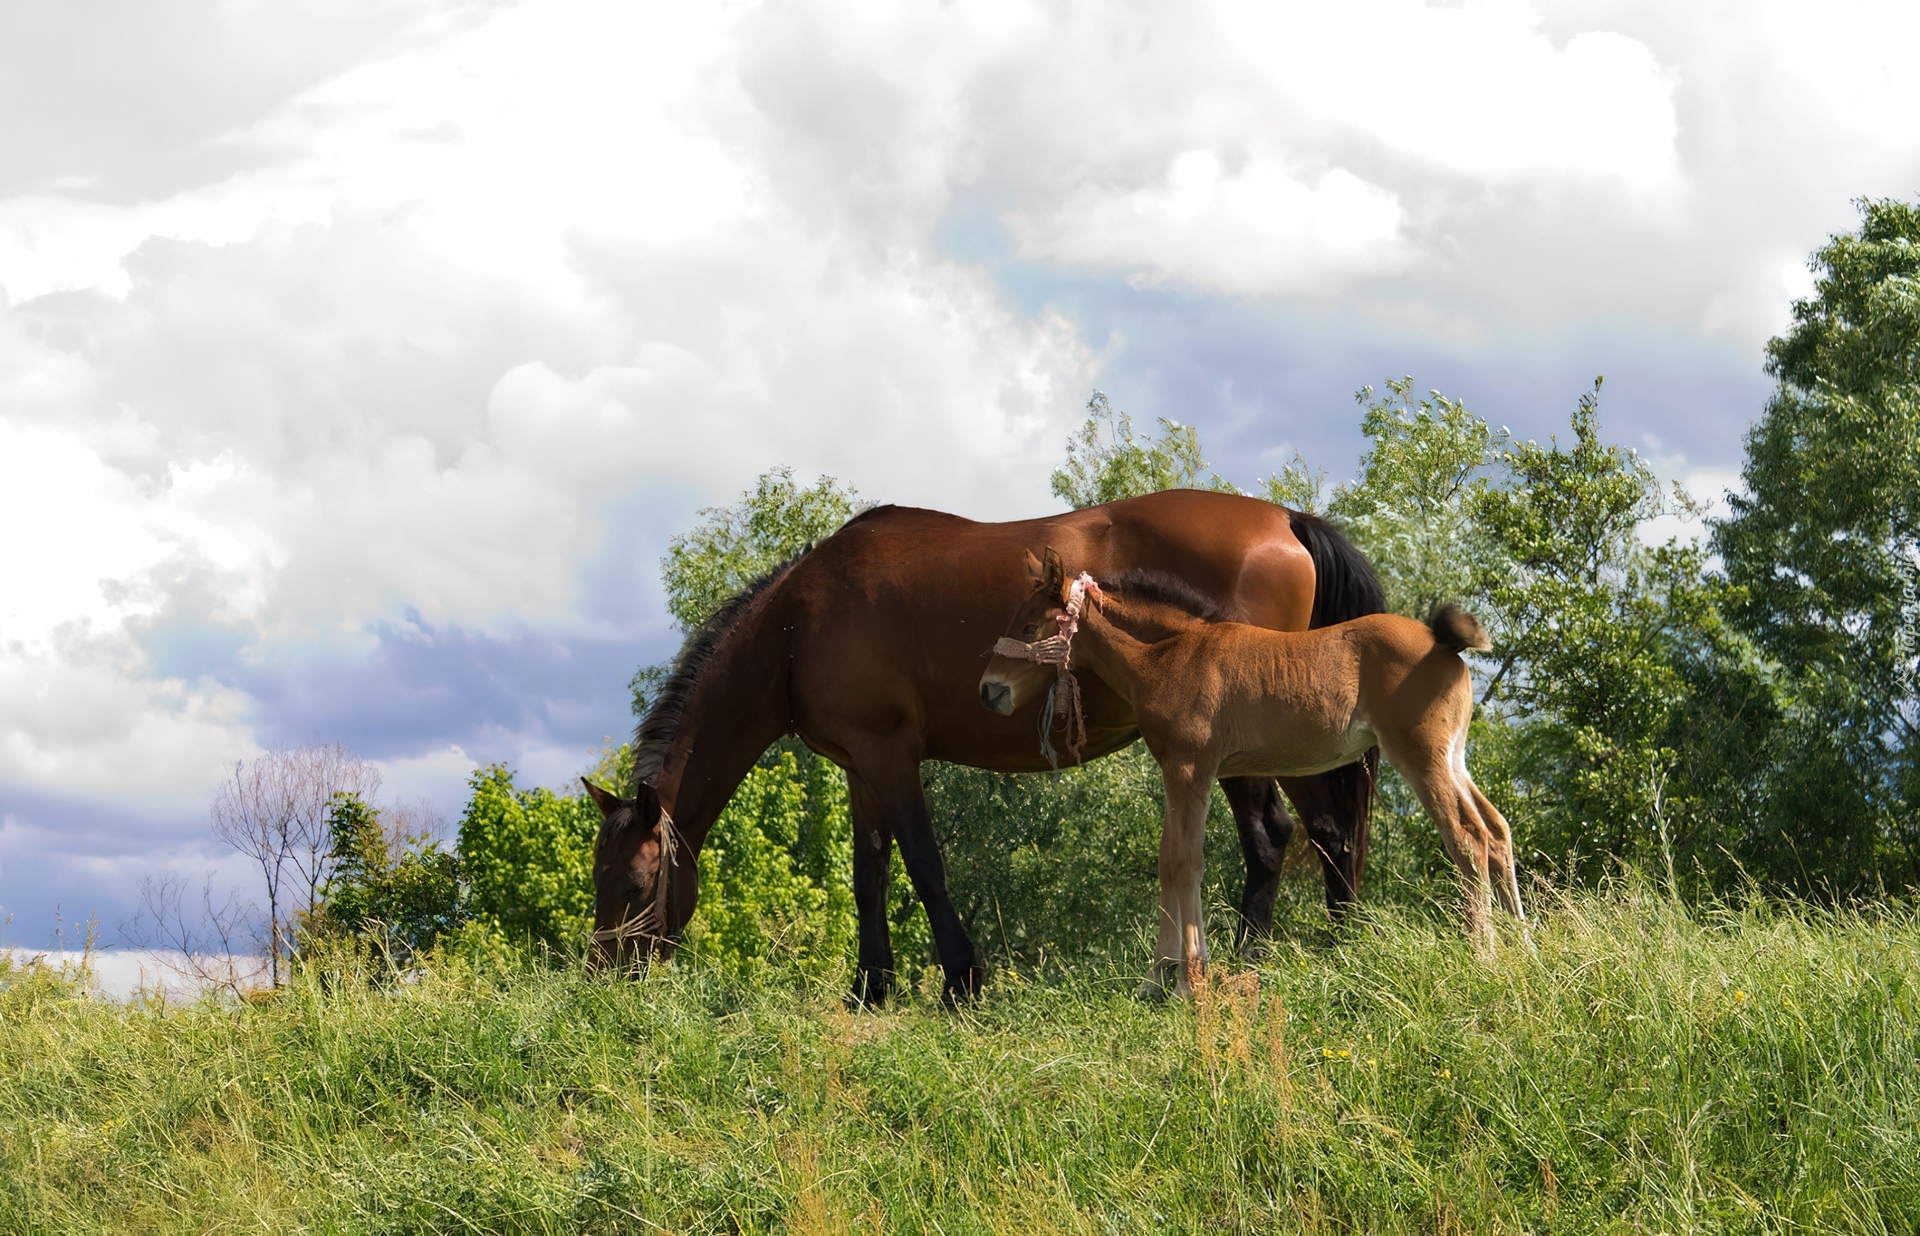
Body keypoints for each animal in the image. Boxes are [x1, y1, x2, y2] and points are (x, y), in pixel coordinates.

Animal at [583, 485, 1382, 1005]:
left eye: (635, 884)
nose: (606, 979)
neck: (796, 626)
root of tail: (1287, 520)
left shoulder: (890, 757)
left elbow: (924, 865)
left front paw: (961, 982)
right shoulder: (859, 766)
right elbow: (869, 874)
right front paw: (870, 988)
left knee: (1277, 833)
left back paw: (1258, 957)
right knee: (1330, 829)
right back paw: (1338, 950)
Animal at [983, 548, 1520, 998]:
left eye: (1029, 626)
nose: (990, 691)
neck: (1171, 653)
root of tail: (1444, 644)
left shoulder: (1191, 769)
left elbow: (1184, 862)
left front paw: (1188, 981)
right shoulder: (1176, 772)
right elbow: (1167, 861)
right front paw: (1156, 979)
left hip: (1421, 757)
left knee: (1466, 838)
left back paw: (1485, 954)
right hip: (1452, 757)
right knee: (1495, 830)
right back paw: (1524, 945)